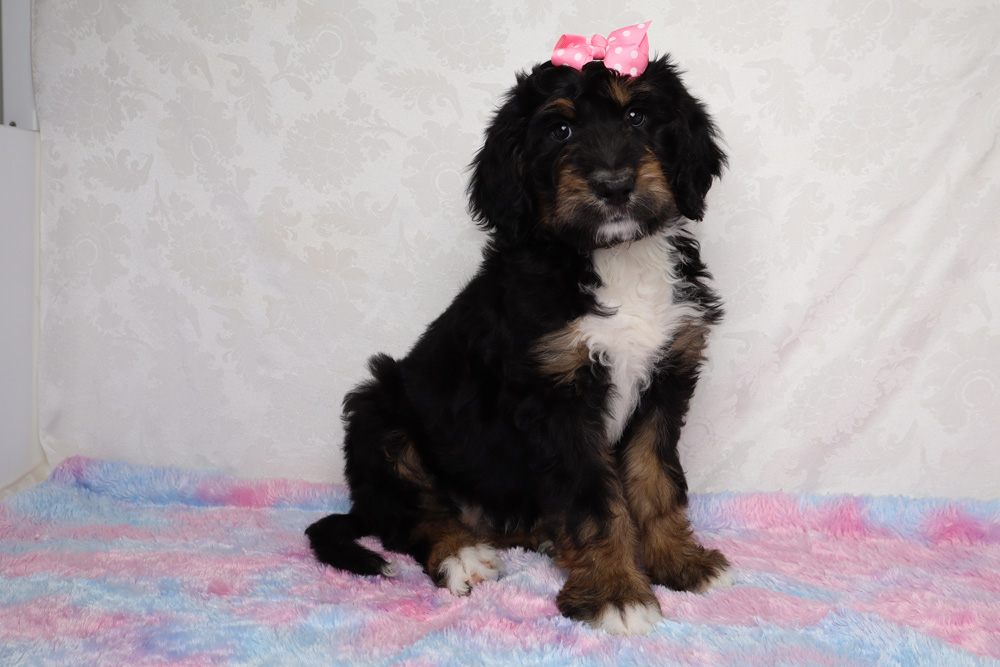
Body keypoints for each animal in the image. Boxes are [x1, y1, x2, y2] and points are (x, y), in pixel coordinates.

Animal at [307, 35, 732, 636]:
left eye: (637, 116)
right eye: (561, 130)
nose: (615, 185)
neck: (613, 258)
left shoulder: (667, 378)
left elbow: (656, 480)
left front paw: (680, 563)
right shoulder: (555, 396)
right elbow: (592, 500)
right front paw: (615, 592)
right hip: (379, 409)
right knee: (407, 513)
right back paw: (460, 553)